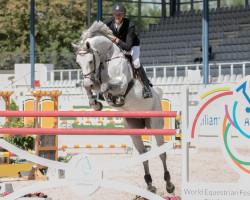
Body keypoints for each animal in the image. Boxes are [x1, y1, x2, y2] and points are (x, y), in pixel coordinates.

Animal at [71, 20, 175, 194]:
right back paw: (150, 185)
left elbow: (106, 86)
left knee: (162, 153)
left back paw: (169, 184)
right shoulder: (95, 82)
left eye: (91, 61)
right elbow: (94, 89)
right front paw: (96, 104)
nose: (88, 81)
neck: (107, 60)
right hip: (134, 129)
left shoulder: (121, 83)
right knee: (143, 153)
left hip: (155, 123)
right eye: (78, 63)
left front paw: (116, 99)